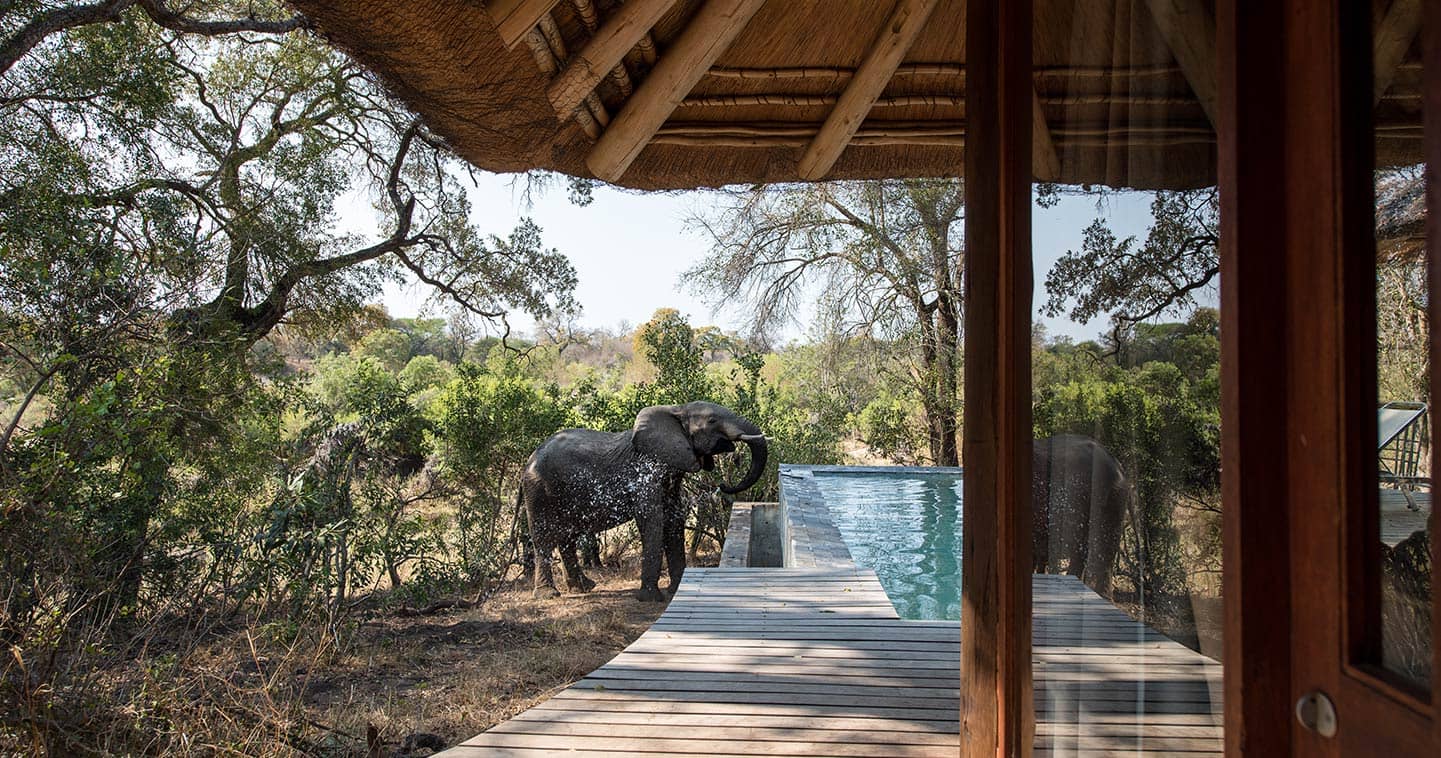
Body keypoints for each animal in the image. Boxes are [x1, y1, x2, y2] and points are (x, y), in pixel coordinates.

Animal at [518, 400, 766, 602]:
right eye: (713, 420)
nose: (723, 485)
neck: (676, 409)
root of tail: (529, 458)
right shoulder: (645, 474)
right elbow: (652, 520)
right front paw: (651, 598)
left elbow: (674, 519)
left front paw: (676, 590)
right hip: (538, 490)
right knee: (544, 537)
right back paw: (548, 594)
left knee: (568, 536)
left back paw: (584, 587)